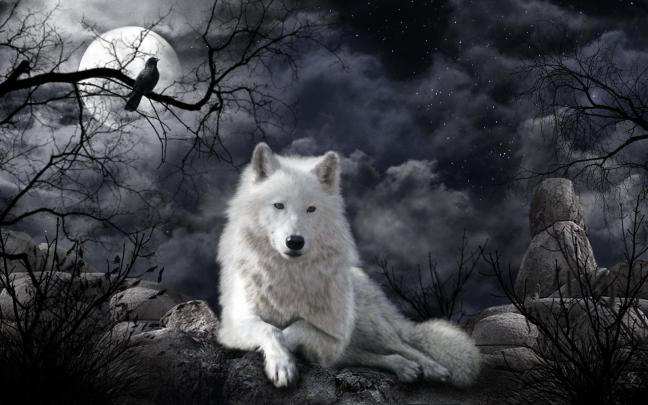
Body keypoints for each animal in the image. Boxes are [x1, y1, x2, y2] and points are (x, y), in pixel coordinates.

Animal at [217, 143, 481, 388]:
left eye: (311, 209)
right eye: (278, 205)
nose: (295, 242)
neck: (288, 275)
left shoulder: (334, 334)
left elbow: (297, 327)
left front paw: (287, 354)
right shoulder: (233, 325)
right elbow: (270, 329)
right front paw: (282, 365)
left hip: (370, 325)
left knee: (404, 345)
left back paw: (434, 368)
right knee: (372, 355)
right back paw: (405, 368)